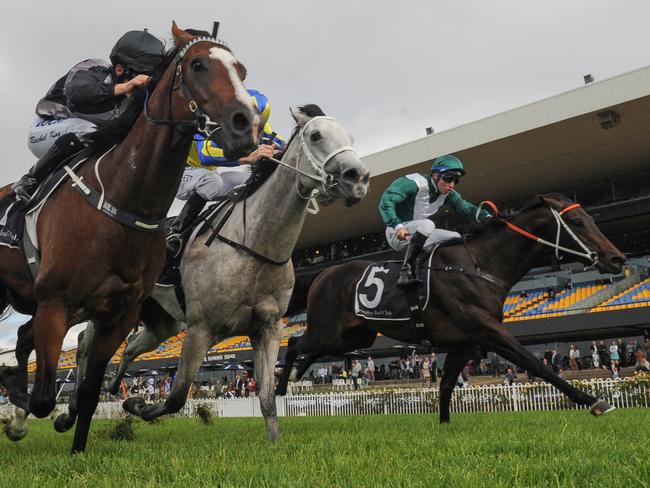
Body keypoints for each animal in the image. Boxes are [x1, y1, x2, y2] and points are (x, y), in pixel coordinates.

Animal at [0, 21, 258, 450]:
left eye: (241, 70)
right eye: (198, 65)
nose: (245, 125)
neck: (125, 201)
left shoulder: (119, 315)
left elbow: (87, 392)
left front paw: (76, 450)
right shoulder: (55, 302)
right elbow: (42, 397)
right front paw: (21, 407)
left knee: (22, 337)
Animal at [61, 105, 370, 440]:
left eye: (350, 137)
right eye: (316, 136)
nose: (358, 177)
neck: (252, 246)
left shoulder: (268, 329)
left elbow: (266, 398)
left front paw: (275, 442)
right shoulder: (200, 329)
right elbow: (176, 396)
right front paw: (138, 405)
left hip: (162, 323)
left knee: (129, 347)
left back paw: (112, 385)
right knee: (85, 345)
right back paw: (71, 410)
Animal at [272, 195, 624, 424]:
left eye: (592, 218)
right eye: (576, 222)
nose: (617, 259)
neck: (480, 266)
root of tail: (321, 274)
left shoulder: (466, 341)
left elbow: (444, 387)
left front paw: (443, 427)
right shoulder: (487, 329)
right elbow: (535, 363)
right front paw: (594, 401)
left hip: (354, 337)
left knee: (308, 349)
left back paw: (295, 377)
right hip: (328, 330)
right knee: (294, 344)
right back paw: (279, 388)